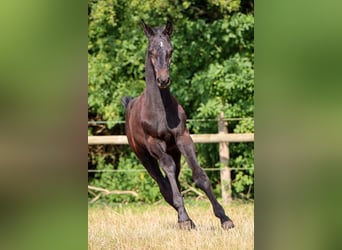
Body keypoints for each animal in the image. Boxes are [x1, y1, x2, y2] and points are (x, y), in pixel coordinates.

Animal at [121, 20, 234, 230]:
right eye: (151, 51)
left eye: (171, 50)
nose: (163, 80)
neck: (160, 109)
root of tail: (129, 104)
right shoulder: (154, 143)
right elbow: (168, 170)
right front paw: (183, 218)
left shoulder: (183, 138)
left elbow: (200, 175)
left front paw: (224, 218)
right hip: (144, 157)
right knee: (163, 184)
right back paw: (185, 217)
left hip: (174, 151)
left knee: (173, 181)